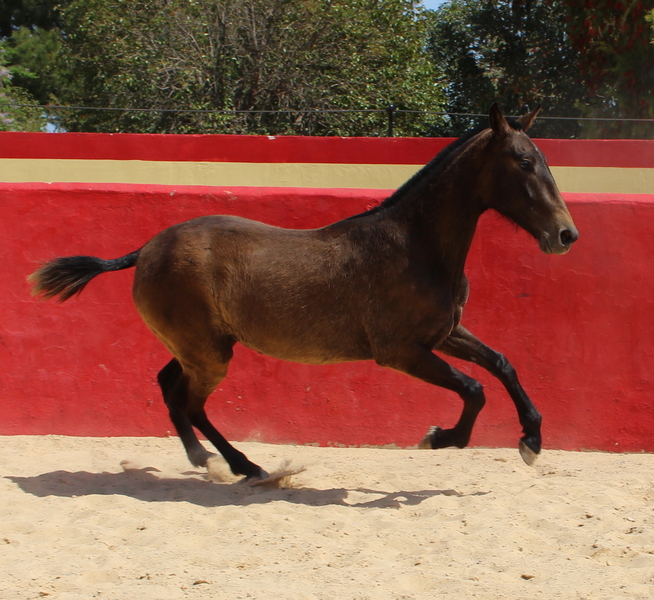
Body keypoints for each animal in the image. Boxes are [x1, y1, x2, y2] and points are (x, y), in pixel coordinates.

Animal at [29, 104, 578, 481]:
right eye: (523, 162)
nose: (566, 235)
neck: (415, 245)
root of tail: (144, 249)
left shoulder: (443, 334)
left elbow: (502, 364)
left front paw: (531, 439)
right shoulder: (401, 351)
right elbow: (474, 388)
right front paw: (440, 438)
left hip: (200, 346)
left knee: (169, 386)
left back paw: (210, 460)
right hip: (208, 354)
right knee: (189, 402)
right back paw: (241, 466)